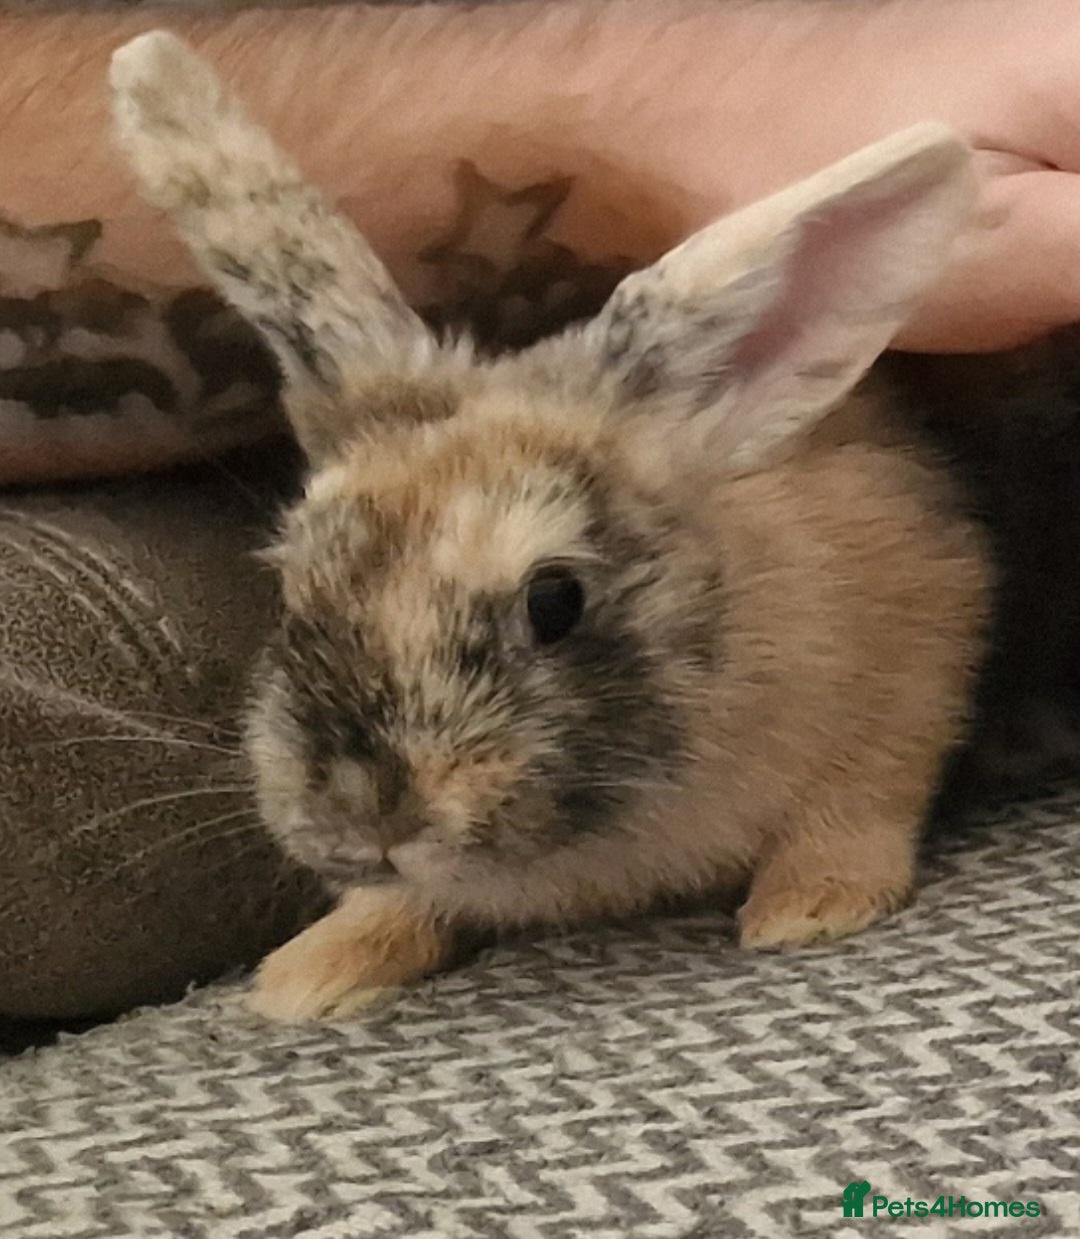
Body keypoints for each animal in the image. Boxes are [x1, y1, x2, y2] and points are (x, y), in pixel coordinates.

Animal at [109, 32, 995, 1022]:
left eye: (555, 600)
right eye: (292, 590)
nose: (366, 820)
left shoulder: (914, 667)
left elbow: (856, 805)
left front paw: (808, 908)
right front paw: (311, 974)